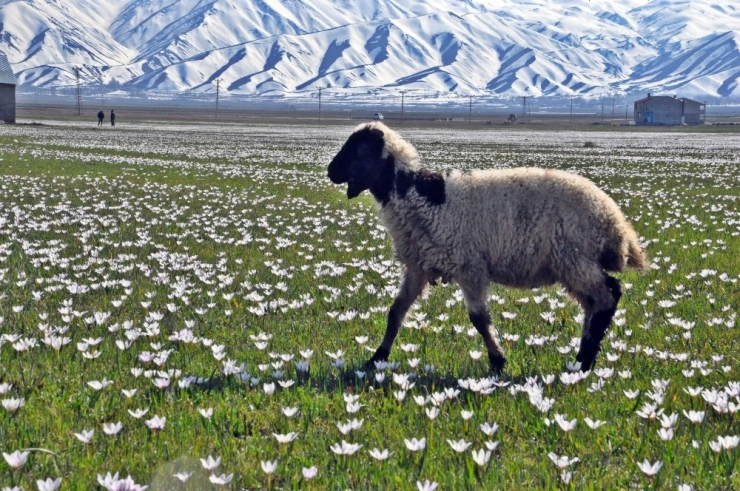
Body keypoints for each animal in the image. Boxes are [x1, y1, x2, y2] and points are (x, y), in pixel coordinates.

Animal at [330, 123, 648, 372]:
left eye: (359, 151)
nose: (330, 172)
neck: (417, 195)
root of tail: (614, 220)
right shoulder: (418, 266)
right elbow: (396, 312)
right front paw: (377, 358)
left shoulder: (469, 266)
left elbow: (479, 319)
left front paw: (498, 360)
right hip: (574, 263)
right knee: (595, 302)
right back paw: (582, 357)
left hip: (575, 258)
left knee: (607, 296)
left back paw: (584, 361)